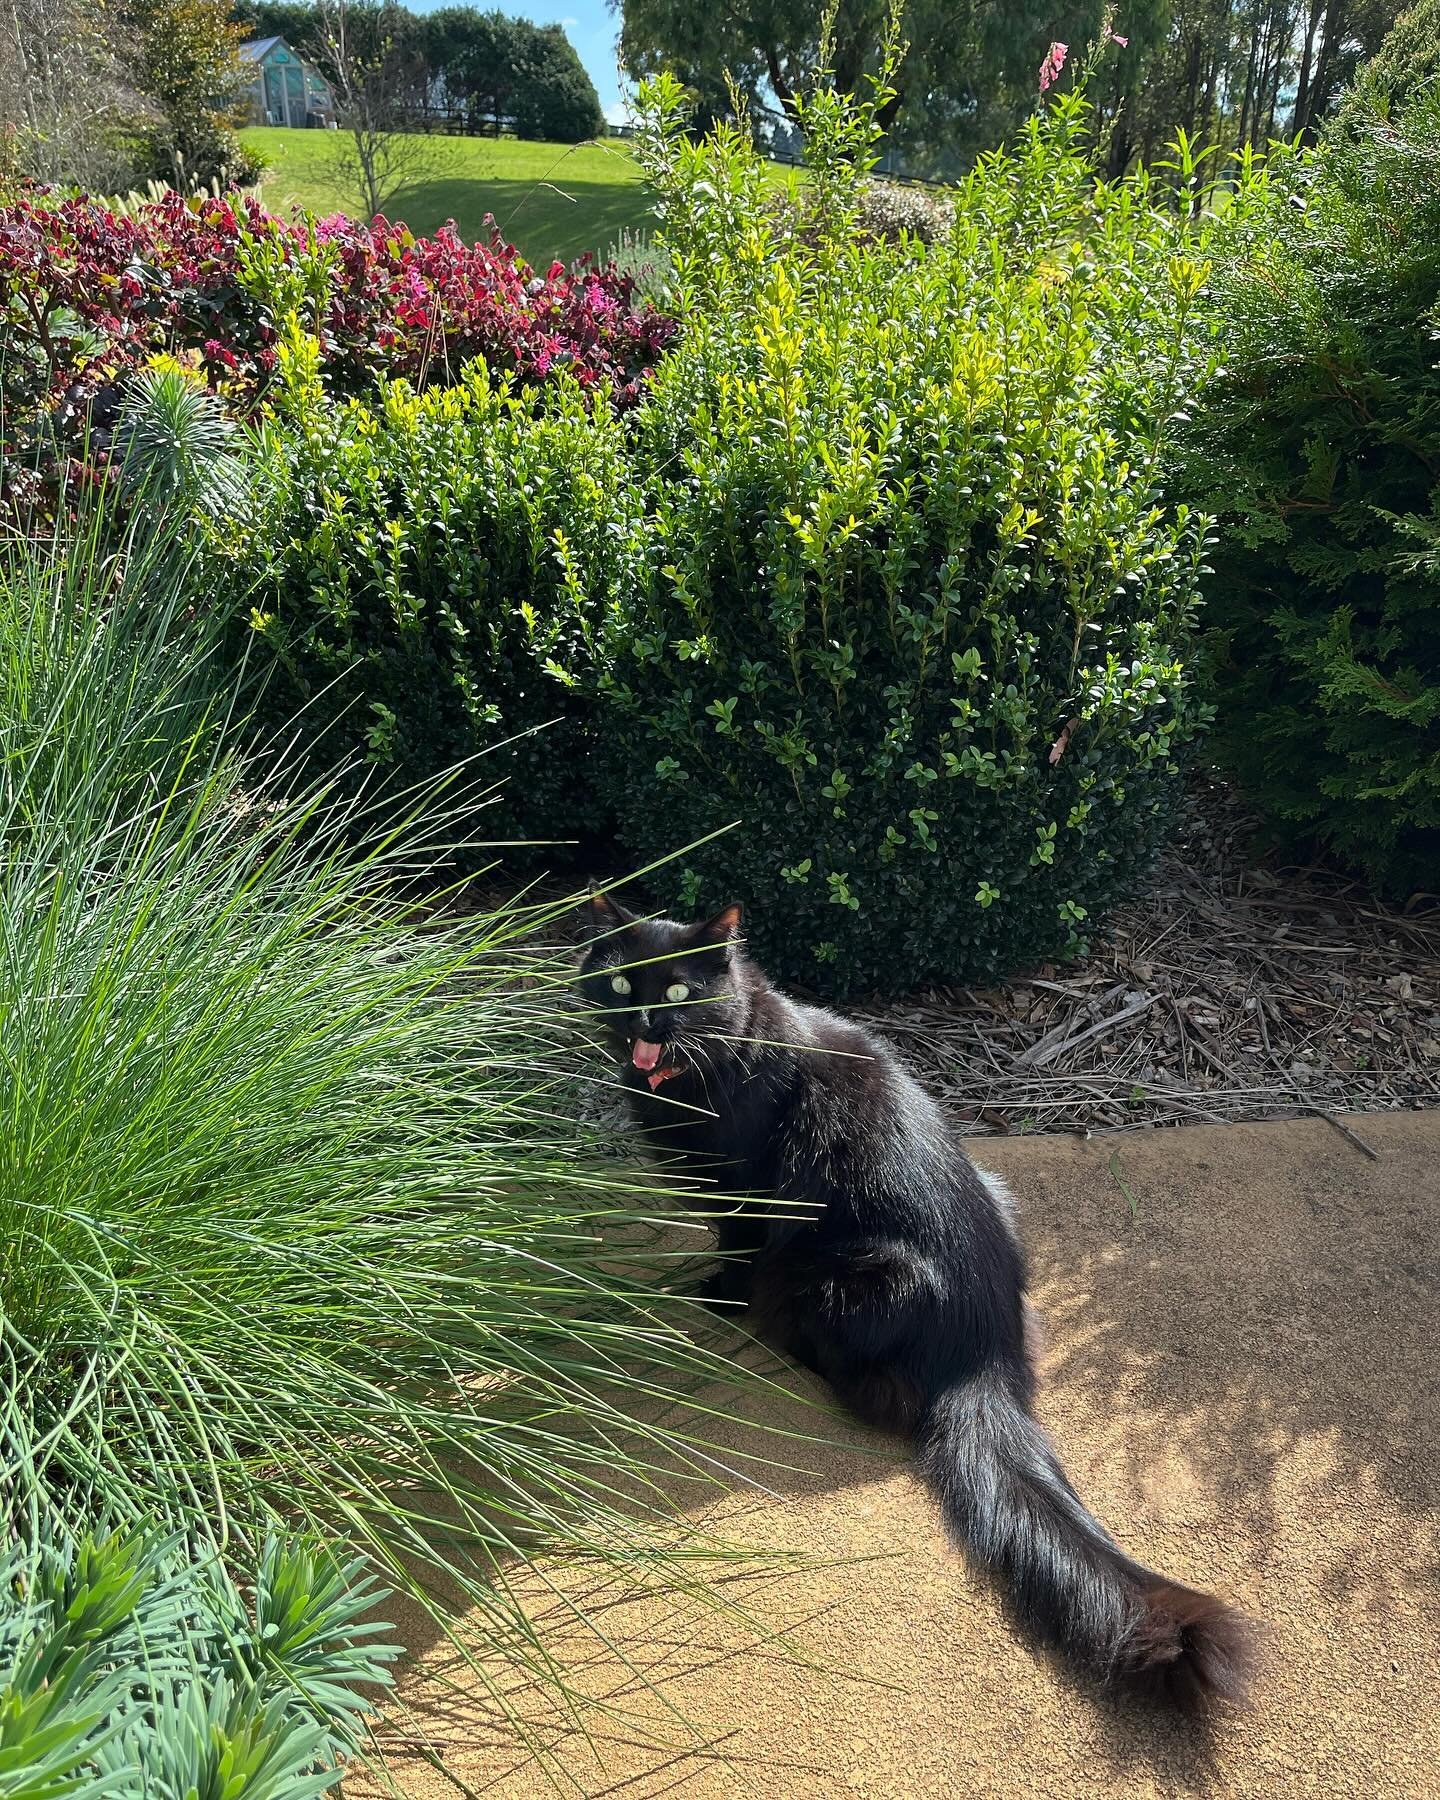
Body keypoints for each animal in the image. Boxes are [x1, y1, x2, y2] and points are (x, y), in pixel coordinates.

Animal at [576, 892, 1245, 1706]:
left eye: (677, 989)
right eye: (621, 983)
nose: (643, 1022)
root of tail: (985, 1352)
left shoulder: (747, 1195)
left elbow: (735, 1253)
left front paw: (716, 1298)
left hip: (843, 1276)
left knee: (873, 1387)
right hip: (996, 1193)